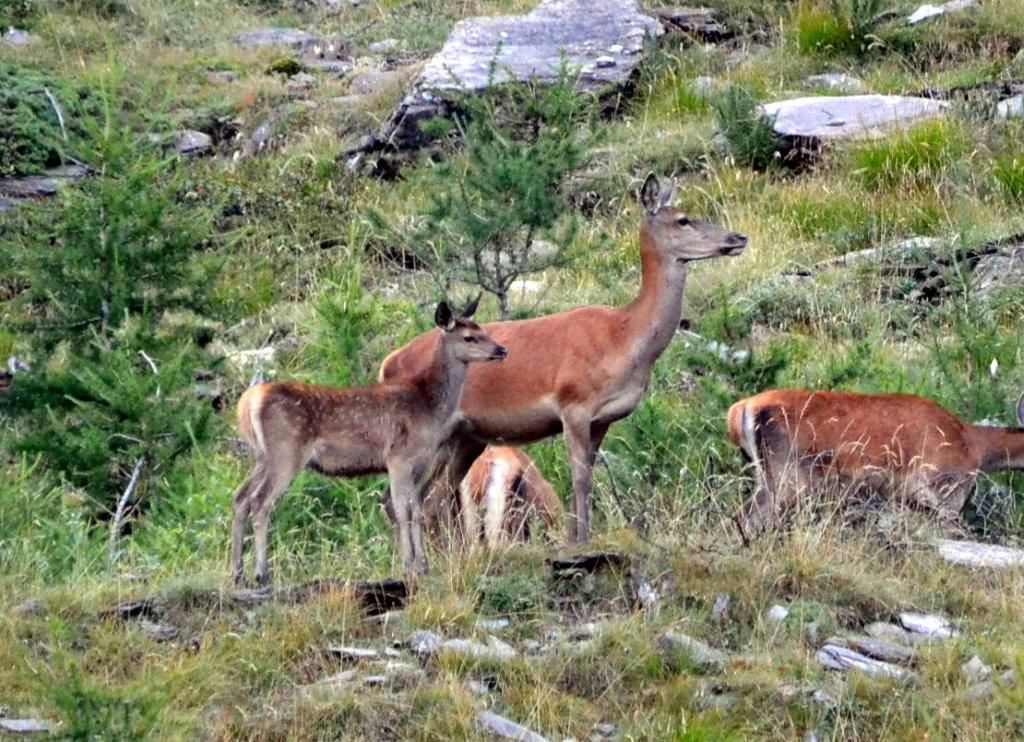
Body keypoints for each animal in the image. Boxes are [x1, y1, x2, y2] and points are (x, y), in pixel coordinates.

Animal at [230, 300, 505, 585]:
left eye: (483, 330)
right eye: (469, 337)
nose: (501, 350)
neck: (429, 408)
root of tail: (247, 403)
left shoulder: (418, 463)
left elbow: (415, 509)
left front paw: (421, 564)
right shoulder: (398, 458)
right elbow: (403, 509)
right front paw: (410, 564)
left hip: (261, 457)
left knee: (240, 497)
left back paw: (238, 573)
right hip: (286, 453)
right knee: (260, 501)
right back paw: (262, 573)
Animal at [380, 173, 749, 544]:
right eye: (684, 220)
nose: (738, 237)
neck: (625, 338)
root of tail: (388, 364)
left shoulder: (603, 418)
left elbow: (587, 475)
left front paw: (576, 535)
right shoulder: (574, 404)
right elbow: (580, 478)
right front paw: (581, 539)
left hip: (466, 438)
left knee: (429, 499)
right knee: (402, 498)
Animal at [724, 386, 1024, 540]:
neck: (973, 447)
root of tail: (740, 410)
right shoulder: (943, 492)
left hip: (767, 475)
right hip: (788, 476)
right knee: (745, 519)